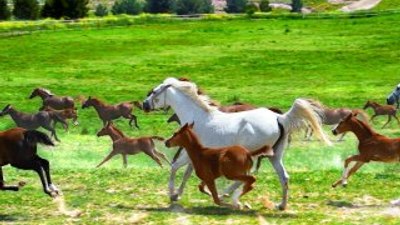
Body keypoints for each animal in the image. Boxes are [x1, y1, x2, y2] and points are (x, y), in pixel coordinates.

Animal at [141, 78, 332, 211]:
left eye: (155, 91)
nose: (144, 105)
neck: (197, 119)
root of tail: (280, 118)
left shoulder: (189, 154)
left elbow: (175, 168)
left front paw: (172, 194)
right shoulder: (195, 156)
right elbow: (187, 174)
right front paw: (178, 194)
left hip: (252, 153)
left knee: (248, 175)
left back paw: (228, 195)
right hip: (275, 155)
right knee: (283, 177)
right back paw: (281, 205)